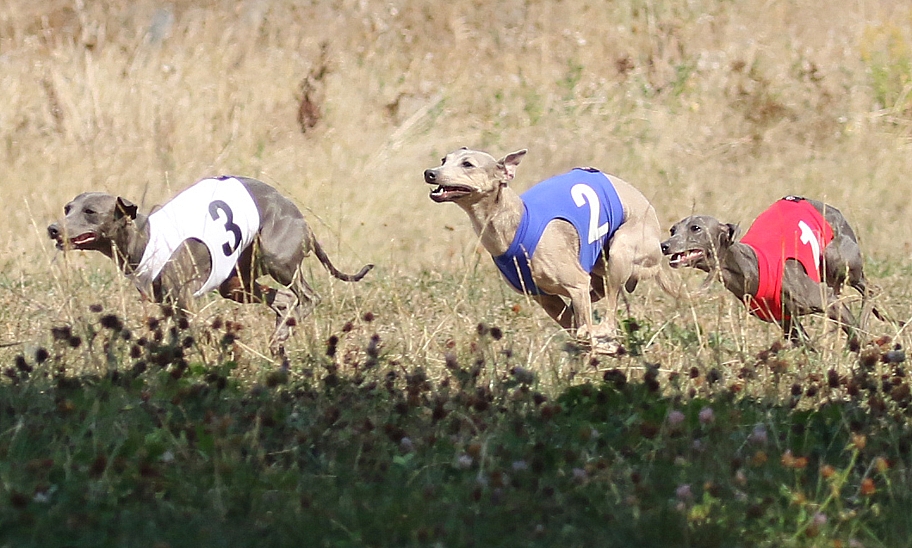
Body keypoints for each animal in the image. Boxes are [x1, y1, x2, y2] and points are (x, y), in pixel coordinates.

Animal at [48, 174, 370, 352]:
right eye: (67, 208)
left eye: (90, 212)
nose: (53, 229)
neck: (146, 237)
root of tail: (301, 219)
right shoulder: (167, 303)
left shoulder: (185, 300)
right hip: (237, 281)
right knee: (284, 300)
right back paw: (279, 336)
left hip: (277, 260)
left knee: (308, 297)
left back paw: (283, 332)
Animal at [424, 147, 672, 356]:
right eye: (444, 160)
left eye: (468, 164)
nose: (430, 173)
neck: (516, 224)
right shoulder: (545, 298)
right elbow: (574, 327)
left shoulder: (576, 283)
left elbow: (583, 330)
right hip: (599, 267)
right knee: (596, 296)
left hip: (620, 252)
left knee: (608, 316)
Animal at [660, 195, 880, 342]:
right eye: (672, 230)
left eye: (695, 228)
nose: (664, 245)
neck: (751, 267)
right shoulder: (787, 324)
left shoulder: (828, 301)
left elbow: (857, 336)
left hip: (836, 259)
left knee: (871, 289)